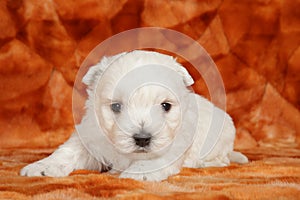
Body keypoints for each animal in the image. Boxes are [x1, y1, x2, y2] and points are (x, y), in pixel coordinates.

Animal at [19, 50, 247, 181]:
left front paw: (138, 173)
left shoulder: (175, 141)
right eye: (116, 106)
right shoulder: (90, 136)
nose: (143, 139)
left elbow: (156, 158)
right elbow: (67, 152)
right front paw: (42, 167)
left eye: (166, 106)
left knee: (222, 159)